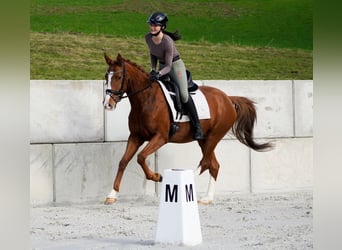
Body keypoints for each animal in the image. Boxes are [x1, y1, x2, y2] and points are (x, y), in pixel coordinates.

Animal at [101, 53, 272, 204]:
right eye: (106, 77)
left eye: (118, 77)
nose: (107, 104)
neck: (146, 99)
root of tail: (228, 99)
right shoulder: (136, 137)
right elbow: (123, 161)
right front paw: (112, 194)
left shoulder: (161, 137)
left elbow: (141, 157)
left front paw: (158, 177)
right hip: (204, 140)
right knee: (213, 165)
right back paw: (207, 198)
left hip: (214, 136)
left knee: (205, 163)